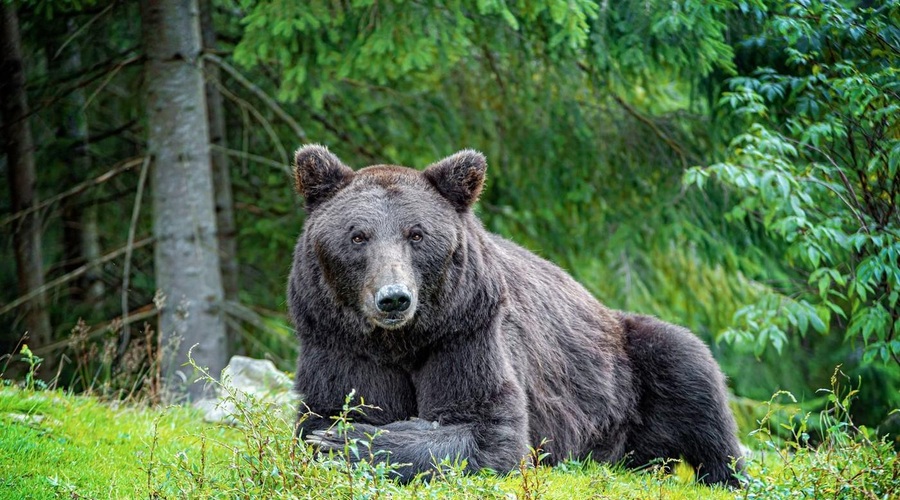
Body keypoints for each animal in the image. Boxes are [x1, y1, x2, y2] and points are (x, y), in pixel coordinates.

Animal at [288, 143, 744, 486]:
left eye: (416, 234)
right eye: (358, 236)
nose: (394, 298)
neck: (402, 341)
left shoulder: (465, 331)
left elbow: (491, 429)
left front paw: (349, 441)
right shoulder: (341, 342)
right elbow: (336, 404)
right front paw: (337, 434)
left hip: (629, 360)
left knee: (692, 375)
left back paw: (725, 474)